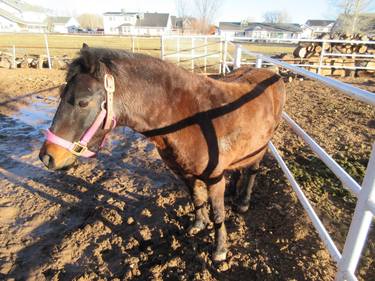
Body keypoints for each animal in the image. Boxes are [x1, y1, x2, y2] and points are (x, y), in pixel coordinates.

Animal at [39, 44, 286, 262]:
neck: (190, 117)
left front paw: (220, 250)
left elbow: (218, 213)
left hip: (262, 146)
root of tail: (272, 75)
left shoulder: (214, 178)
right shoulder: (185, 173)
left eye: (83, 102)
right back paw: (234, 192)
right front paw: (198, 224)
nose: (47, 156)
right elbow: (196, 199)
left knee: (252, 169)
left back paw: (243, 201)